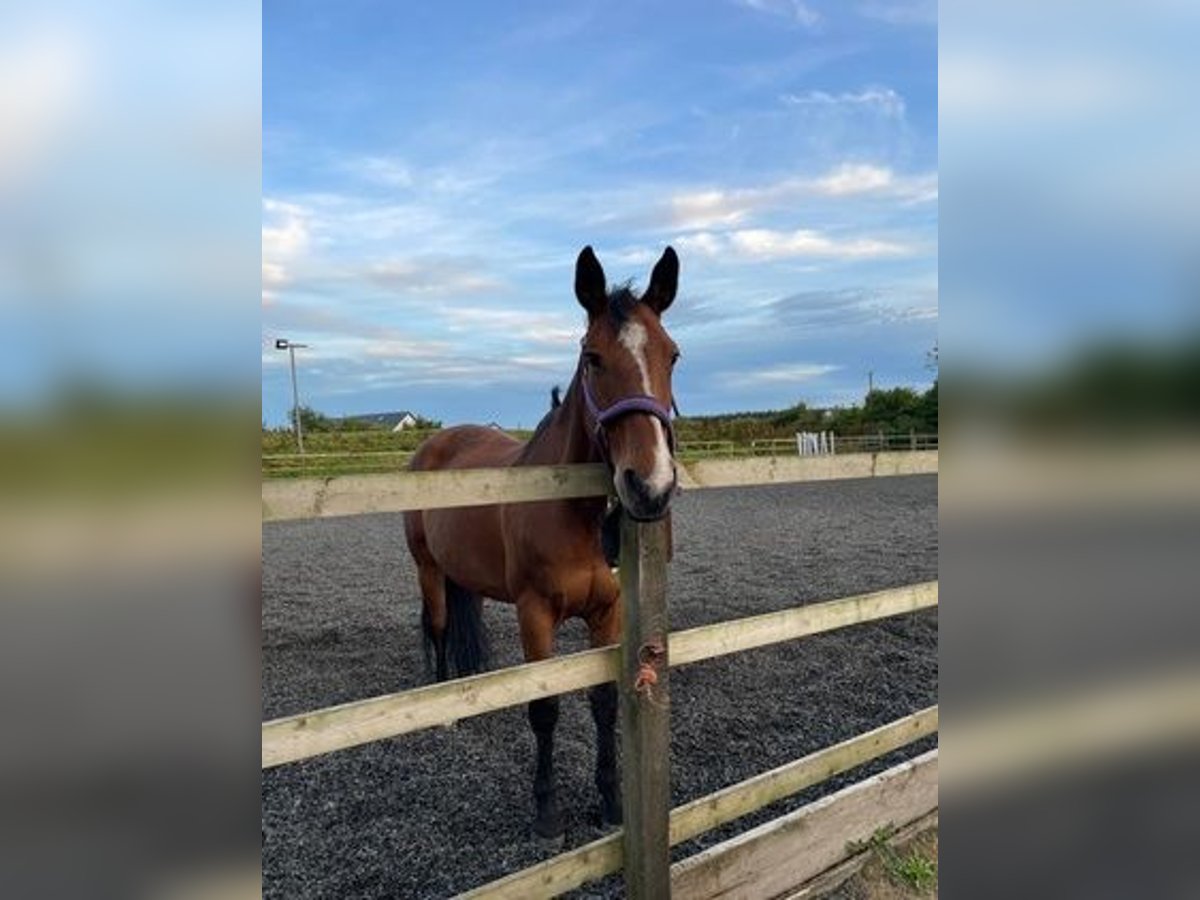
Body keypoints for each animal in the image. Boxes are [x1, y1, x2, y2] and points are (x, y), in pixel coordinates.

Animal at [403, 244, 681, 840]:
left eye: (672, 355)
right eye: (592, 357)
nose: (650, 486)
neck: (573, 509)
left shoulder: (608, 612)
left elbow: (604, 701)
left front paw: (612, 803)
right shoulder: (535, 612)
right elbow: (546, 707)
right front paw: (547, 812)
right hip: (427, 568)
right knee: (438, 628)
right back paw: (446, 709)